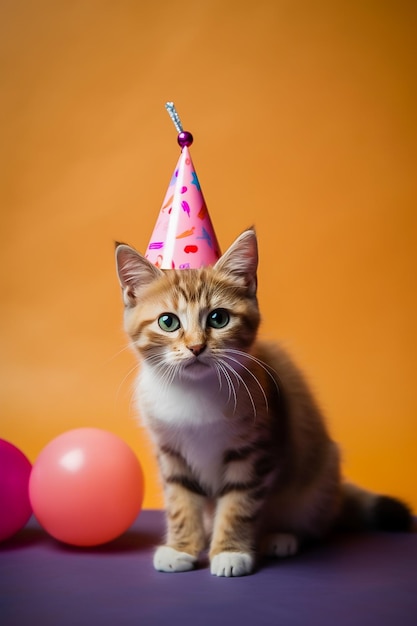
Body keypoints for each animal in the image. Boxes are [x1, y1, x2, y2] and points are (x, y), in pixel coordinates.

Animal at [114, 227, 412, 572]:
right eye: (168, 322)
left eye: (218, 318)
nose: (196, 347)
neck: (193, 392)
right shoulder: (170, 452)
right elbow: (180, 500)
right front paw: (181, 548)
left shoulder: (257, 448)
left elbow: (239, 502)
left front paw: (230, 552)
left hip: (319, 473)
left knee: (314, 522)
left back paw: (282, 536)